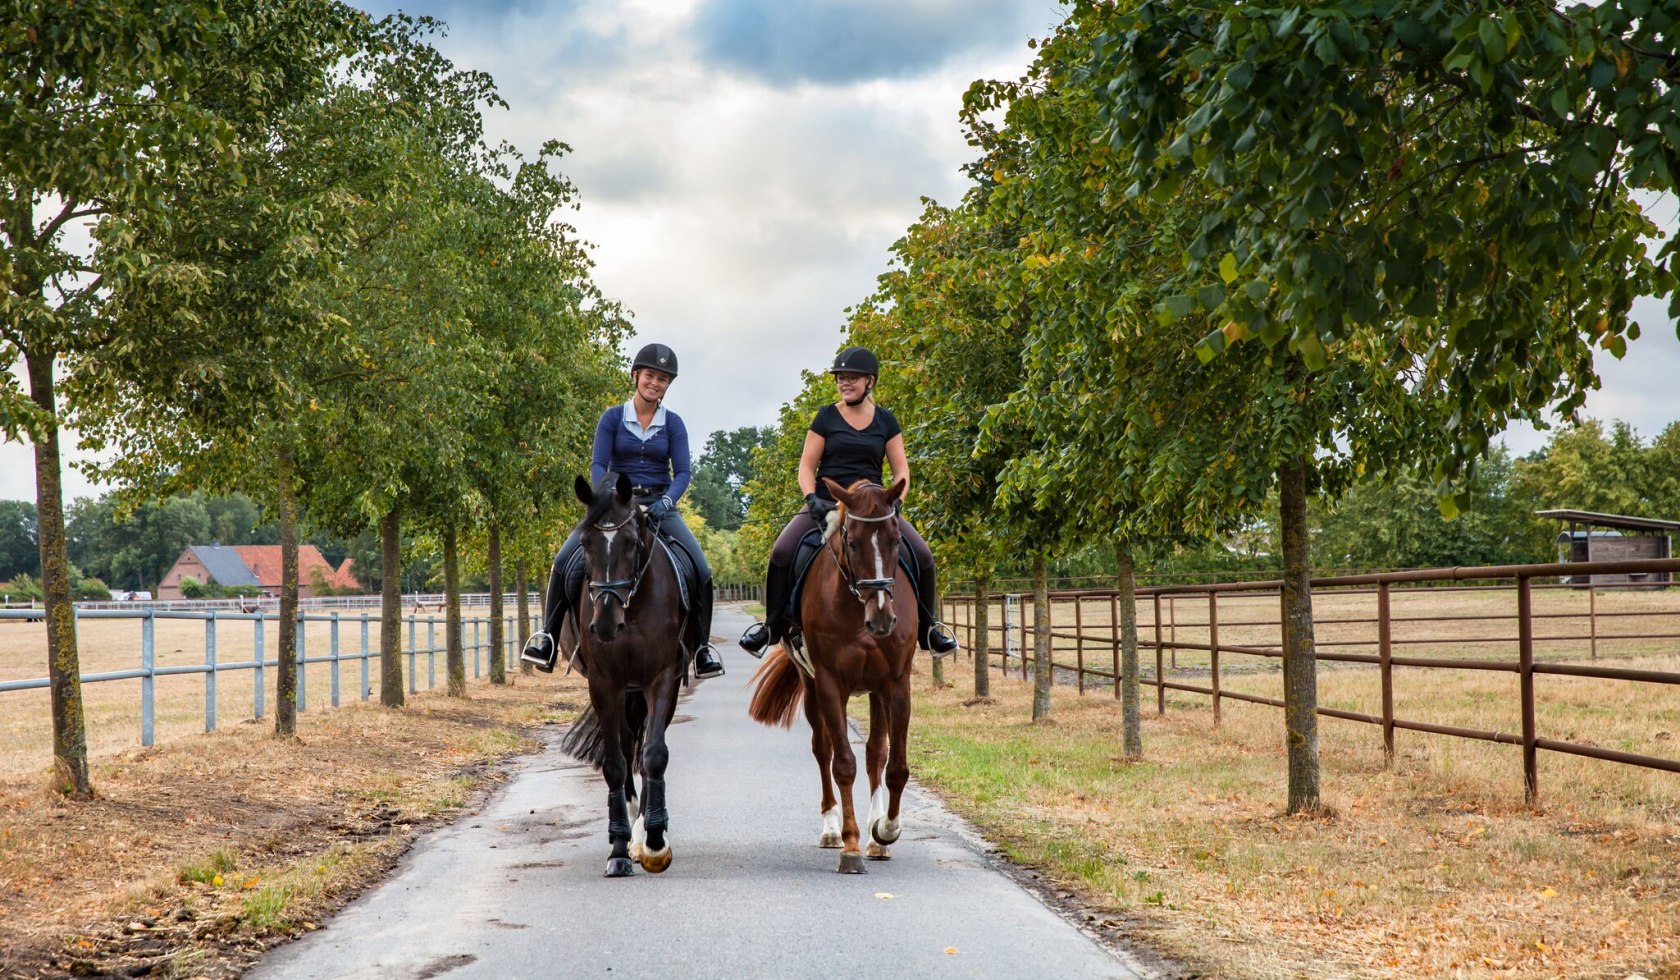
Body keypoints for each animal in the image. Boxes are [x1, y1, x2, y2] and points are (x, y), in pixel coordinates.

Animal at [551, 470, 682, 880]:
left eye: (631, 543)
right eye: (585, 543)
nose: (606, 624)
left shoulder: (663, 679)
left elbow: (655, 754)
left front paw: (654, 842)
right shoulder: (604, 685)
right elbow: (614, 764)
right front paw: (619, 850)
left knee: (644, 749)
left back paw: (646, 831)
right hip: (625, 692)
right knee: (626, 749)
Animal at [749, 474, 913, 874]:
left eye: (896, 541)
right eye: (852, 543)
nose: (882, 619)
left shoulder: (896, 683)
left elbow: (895, 766)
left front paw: (885, 830)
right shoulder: (829, 683)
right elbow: (843, 764)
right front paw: (851, 846)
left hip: (875, 692)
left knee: (876, 752)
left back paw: (876, 839)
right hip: (811, 688)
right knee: (823, 750)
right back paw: (831, 830)